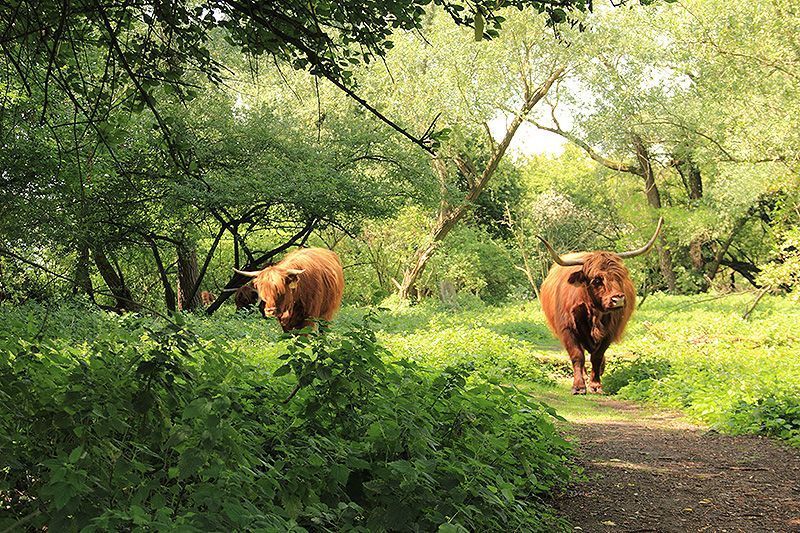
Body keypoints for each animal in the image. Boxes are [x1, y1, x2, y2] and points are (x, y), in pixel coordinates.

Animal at [536, 217, 664, 394]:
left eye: (620, 276)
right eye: (597, 279)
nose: (618, 299)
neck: (593, 312)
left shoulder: (609, 332)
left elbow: (596, 357)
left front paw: (596, 385)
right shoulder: (568, 330)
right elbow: (577, 355)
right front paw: (579, 386)